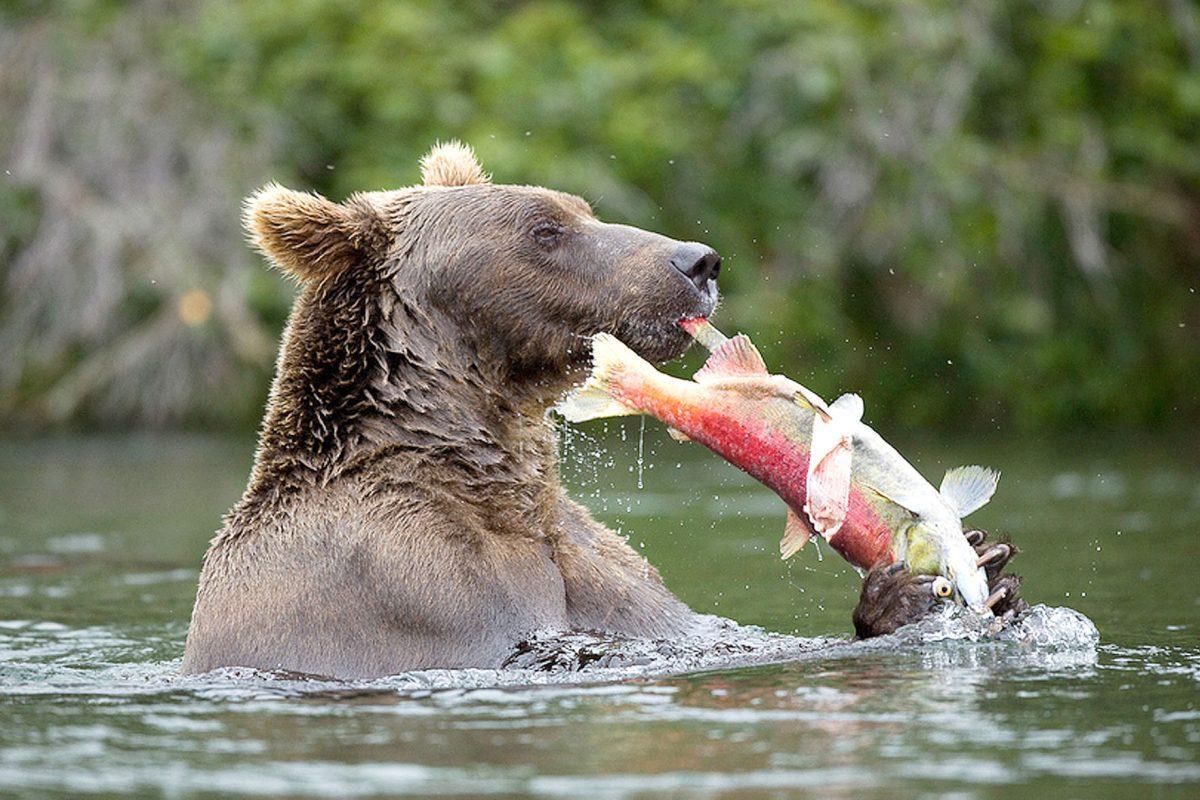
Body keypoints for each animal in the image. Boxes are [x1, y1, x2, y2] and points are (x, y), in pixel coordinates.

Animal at [181, 142, 1023, 679]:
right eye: (544, 230)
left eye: (580, 208)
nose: (697, 262)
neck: (483, 474)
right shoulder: (409, 587)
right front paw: (902, 597)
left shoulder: (606, 572)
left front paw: (990, 563)